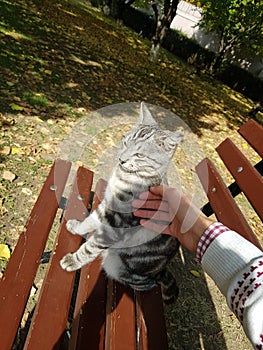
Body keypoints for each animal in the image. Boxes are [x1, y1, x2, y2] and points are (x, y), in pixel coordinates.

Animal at [60, 102, 185, 302]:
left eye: (140, 155)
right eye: (125, 142)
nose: (121, 159)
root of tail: (160, 271)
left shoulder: (117, 224)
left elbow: (90, 248)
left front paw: (73, 260)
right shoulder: (106, 206)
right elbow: (90, 220)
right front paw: (77, 227)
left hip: (117, 266)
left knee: (145, 285)